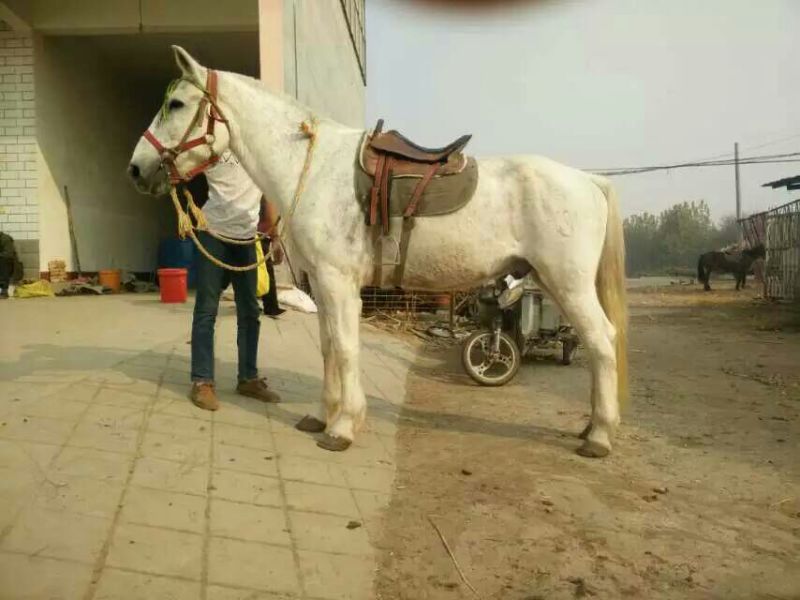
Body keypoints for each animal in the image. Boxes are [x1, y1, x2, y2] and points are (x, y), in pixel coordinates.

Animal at [128, 47, 628, 458]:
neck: (311, 168)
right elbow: (329, 349)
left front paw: (343, 428)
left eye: (176, 104)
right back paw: (590, 429)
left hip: (567, 284)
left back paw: (599, 437)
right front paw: (323, 416)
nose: (136, 169)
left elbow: (346, 349)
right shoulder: (322, 284)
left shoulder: (339, 282)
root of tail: (588, 180)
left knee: (601, 342)